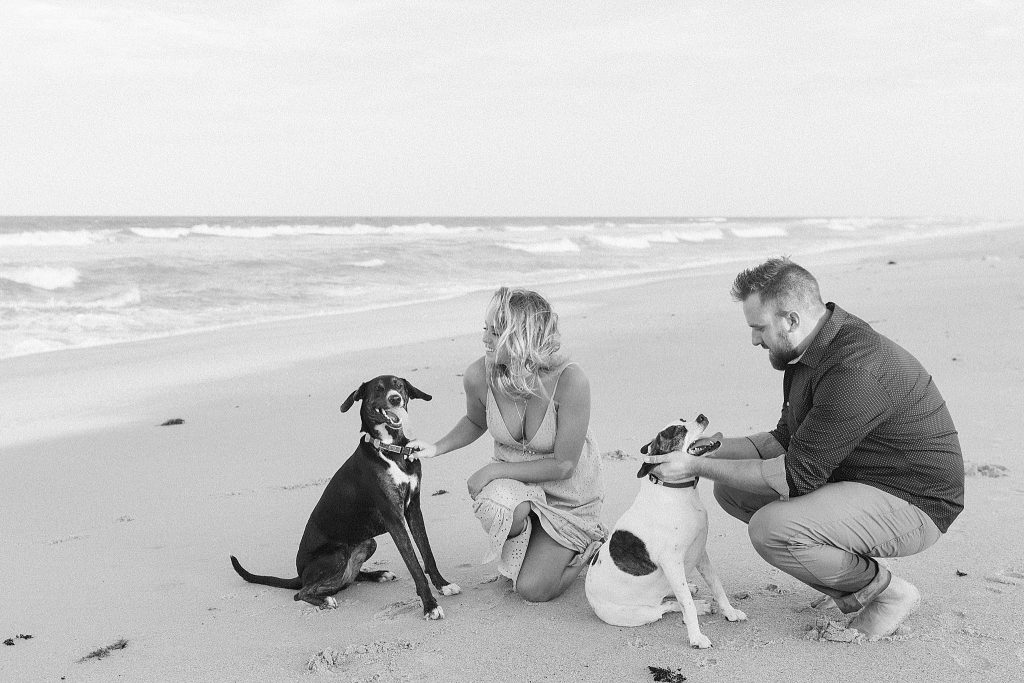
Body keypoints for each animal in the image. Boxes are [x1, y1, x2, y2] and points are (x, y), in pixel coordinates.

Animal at [232, 374, 460, 618]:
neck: (390, 449)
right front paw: (430, 605)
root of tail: (300, 574)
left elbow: (427, 553)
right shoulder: (393, 517)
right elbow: (414, 565)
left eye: (399, 386)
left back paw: (378, 575)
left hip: (368, 542)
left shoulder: (413, 509)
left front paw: (443, 585)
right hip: (337, 555)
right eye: (378, 389)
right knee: (302, 593)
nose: (395, 398)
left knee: (348, 577)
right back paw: (325, 600)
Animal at [589, 417, 749, 647]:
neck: (678, 491)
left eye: (683, 419)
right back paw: (698, 606)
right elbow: (686, 605)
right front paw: (696, 637)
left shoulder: (700, 552)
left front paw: (730, 611)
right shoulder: (672, 562)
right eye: (677, 431)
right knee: (667, 606)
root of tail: (590, 597)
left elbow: (716, 585)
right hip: (642, 613)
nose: (701, 416)